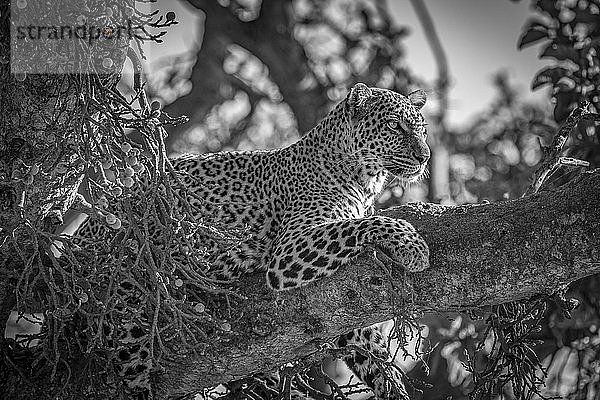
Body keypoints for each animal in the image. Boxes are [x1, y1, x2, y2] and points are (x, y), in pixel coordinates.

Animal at [75, 83, 432, 398]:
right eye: (395, 126)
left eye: (423, 130)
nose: (425, 156)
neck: (364, 180)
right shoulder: (289, 250)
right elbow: (362, 223)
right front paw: (412, 247)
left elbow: (373, 354)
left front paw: (394, 388)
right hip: (127, 311)